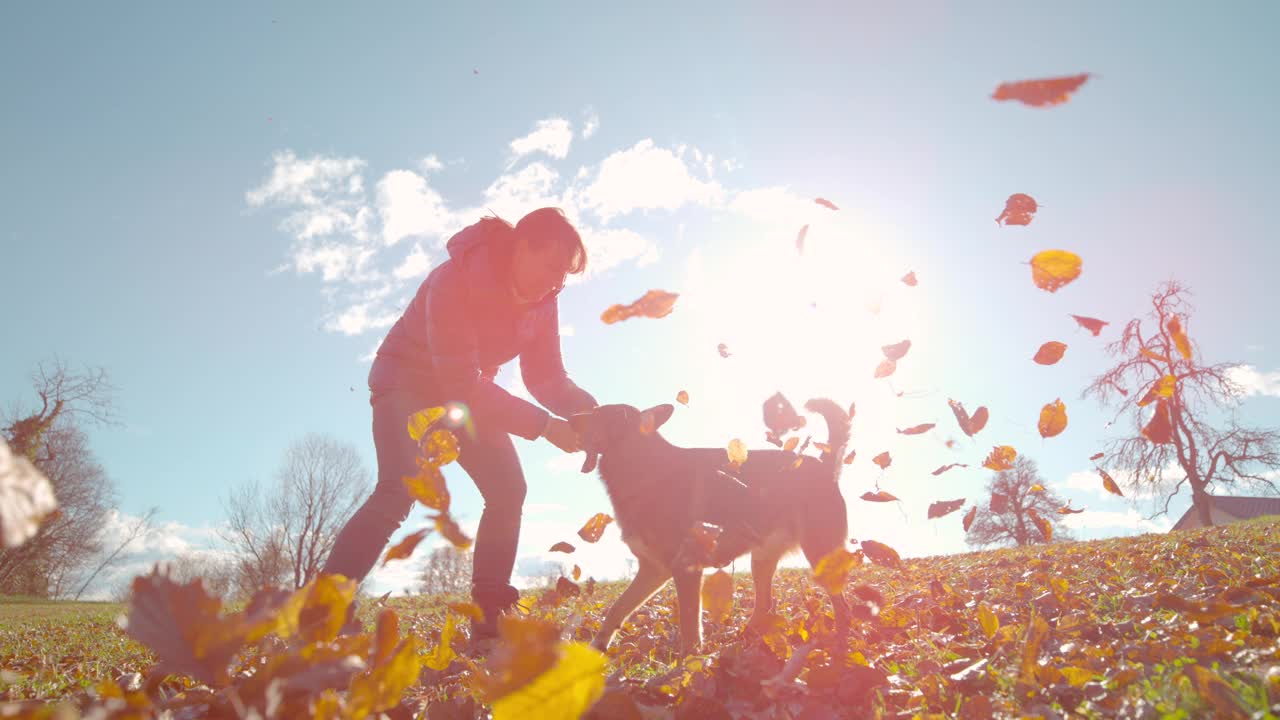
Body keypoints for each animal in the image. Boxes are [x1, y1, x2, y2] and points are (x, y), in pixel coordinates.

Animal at [568, 394, 849, 653]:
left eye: (599, 414)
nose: (570, 418)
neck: (644, 468)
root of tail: (823, 465)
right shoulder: (653, 570)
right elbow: (617, 610)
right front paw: (595, 651)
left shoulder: (685, 568)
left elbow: (690, 627)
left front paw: (688, 666)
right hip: (761, 560)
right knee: (765, 605)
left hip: (819, 555)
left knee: (843, 605)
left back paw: (840, 645)